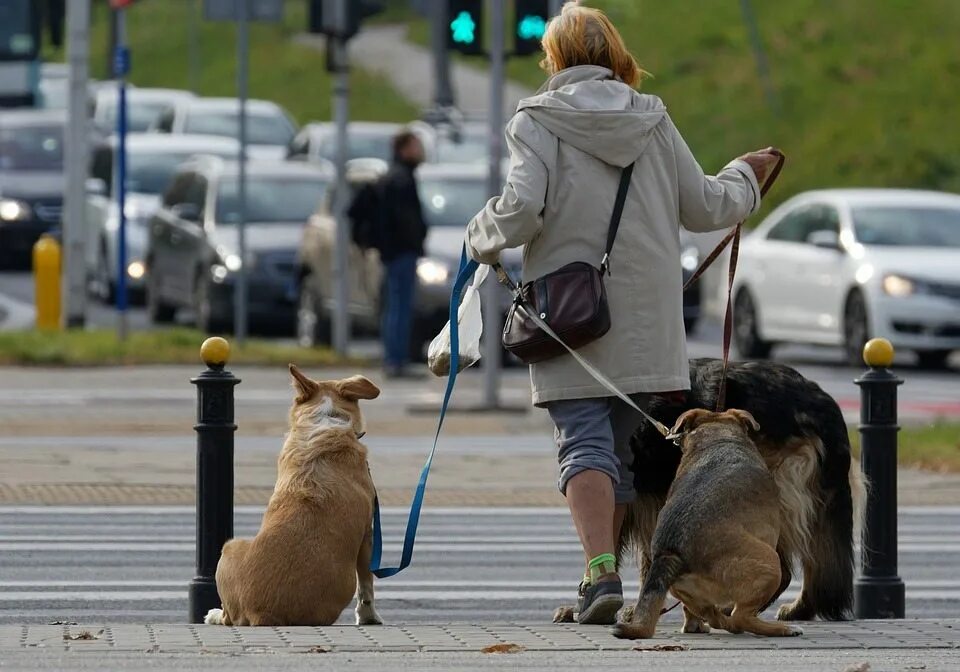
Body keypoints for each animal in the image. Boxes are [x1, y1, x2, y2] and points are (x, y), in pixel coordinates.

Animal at [204, 364, 380, 628]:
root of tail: (261, 613)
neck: (325, 418)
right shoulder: (368, 535)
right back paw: (214, 614)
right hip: (229, 547)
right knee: (227, 617)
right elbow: (366, 586)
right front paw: (369, 617)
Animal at [616, 406, 804, 636]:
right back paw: (781, 628)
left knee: (714, 616)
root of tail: (671, 553)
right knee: (740, 617)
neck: (718, 436)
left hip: (688, 592)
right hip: (769, 562)